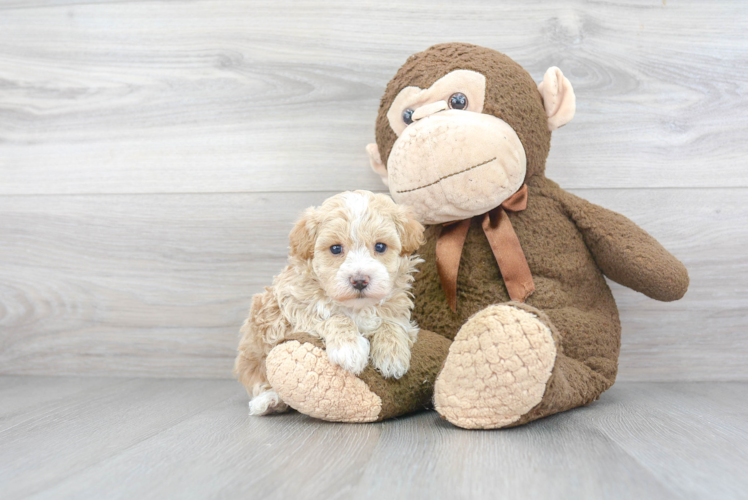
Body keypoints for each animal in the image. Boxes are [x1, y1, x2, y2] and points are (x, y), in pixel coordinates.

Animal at [234, 189, 424, 416]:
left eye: (380, 246)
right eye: (335, 248)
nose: (359, 280)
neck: (356, 307)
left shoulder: (398, 310)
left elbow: (391, 323)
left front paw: (392, 356)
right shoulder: (297, 312)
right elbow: (335, 318)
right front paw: (349, 348)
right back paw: (269, 400)